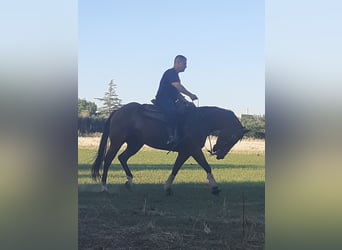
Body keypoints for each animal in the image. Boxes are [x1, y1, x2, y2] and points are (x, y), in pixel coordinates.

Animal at [90, 101, 246, 195]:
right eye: (233, 137)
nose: (220, 155)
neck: (200, 120)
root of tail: (117, 111)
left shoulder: (185, 152)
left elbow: (175, 168)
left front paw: (167, 187)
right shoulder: (194, 150)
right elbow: (206, 166)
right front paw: (215, 187)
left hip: (135, 144)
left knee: (122, 158)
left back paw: (129, 182)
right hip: (117, 142)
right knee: (108, 160)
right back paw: (104, 187)